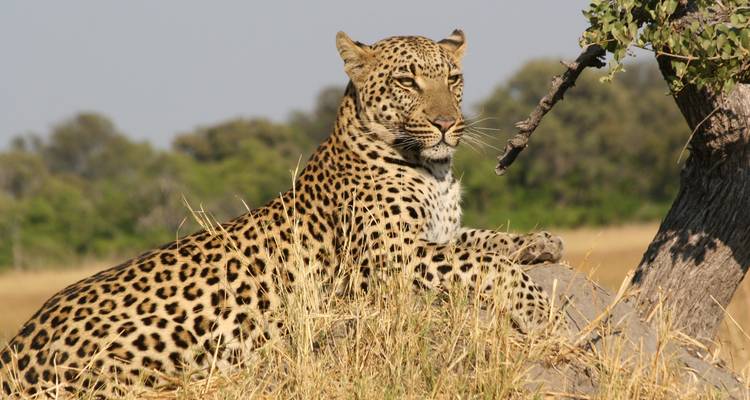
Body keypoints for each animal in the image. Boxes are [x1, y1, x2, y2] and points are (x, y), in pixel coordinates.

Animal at [0, 30, 563, 398]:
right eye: (407, 81)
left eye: (454, 78)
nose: (449, 123)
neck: (433, 170)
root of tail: (16, 345)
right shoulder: (379, 261)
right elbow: (479, 261)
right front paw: (538, 308)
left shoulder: (435, 234)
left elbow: (486, 240)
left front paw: (541, 242)